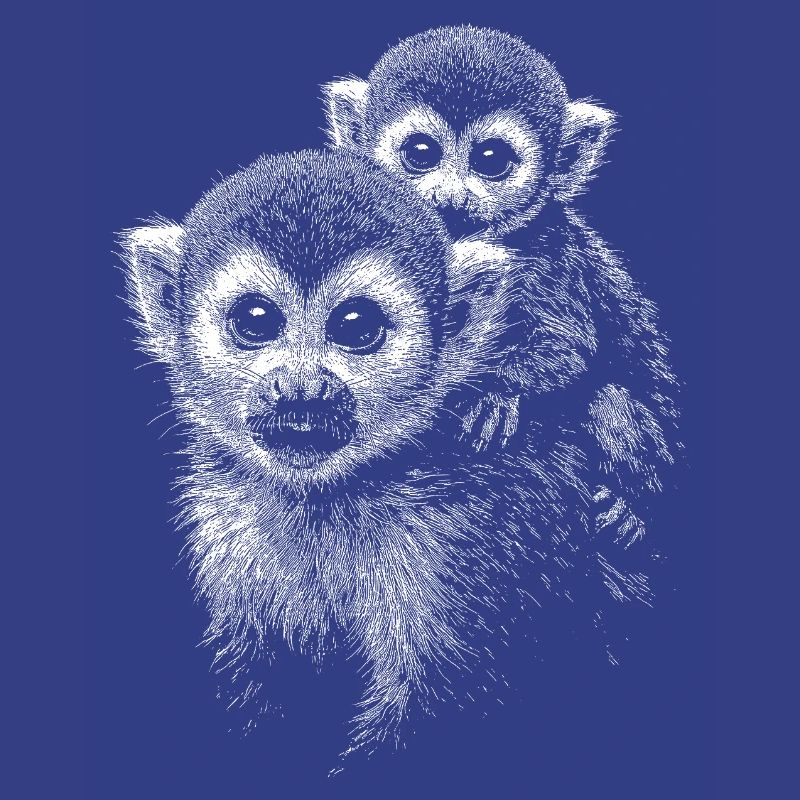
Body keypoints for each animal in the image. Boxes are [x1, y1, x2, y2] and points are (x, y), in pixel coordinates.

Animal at [119, 148, 635, 759]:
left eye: (357, 326)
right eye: (255, 321)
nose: (302, 389)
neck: (331, 497)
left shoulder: (472, 533)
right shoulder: (231, 519)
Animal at [322, 25, 681, 548]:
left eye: (491, 160)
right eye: (420, 153)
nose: (451, 199)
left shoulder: (546, 251)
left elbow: (568, 346)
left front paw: (494, 393)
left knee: (609, 399)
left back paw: (633, 508)